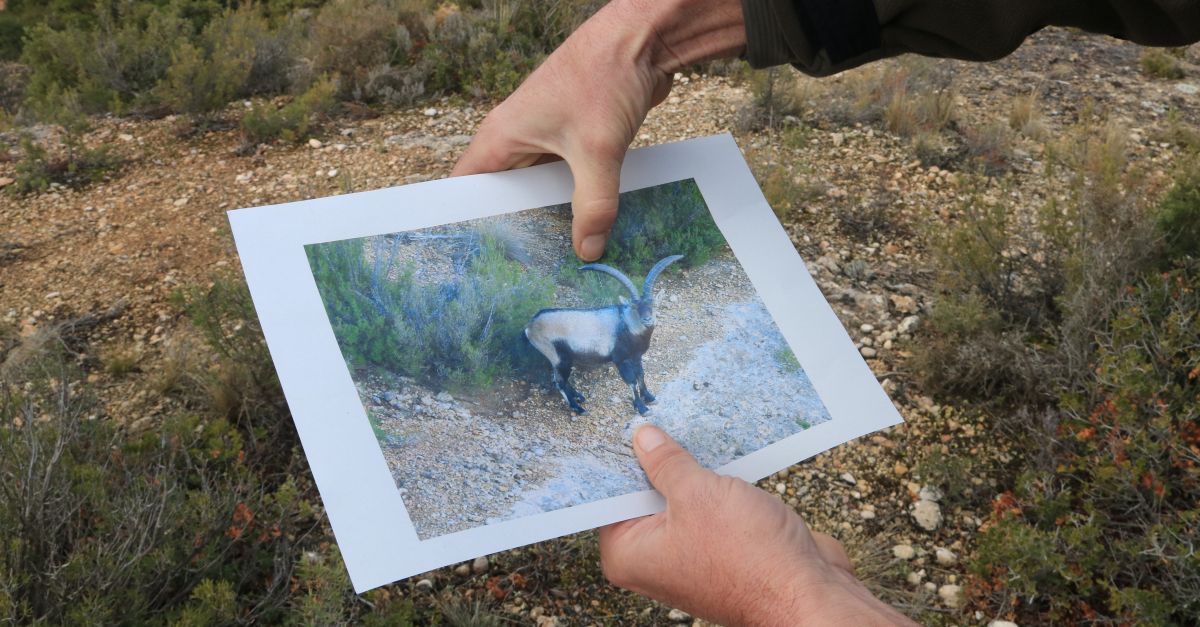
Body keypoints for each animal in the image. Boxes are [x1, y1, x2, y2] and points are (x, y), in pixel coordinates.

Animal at [528, 253, 686, 415]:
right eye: (635, 306)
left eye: (653, 305)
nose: (647, 319)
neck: (626, 324)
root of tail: (530, 326)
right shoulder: (620, 359)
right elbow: (631, 381)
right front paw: (641, 407)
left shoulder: (636, 357)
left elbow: (641, 375)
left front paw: (649, 397)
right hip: (558, 357)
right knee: (559, 382)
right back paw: (579, 408)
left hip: (561, 359)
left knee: (559, 380)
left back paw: (579, 397)